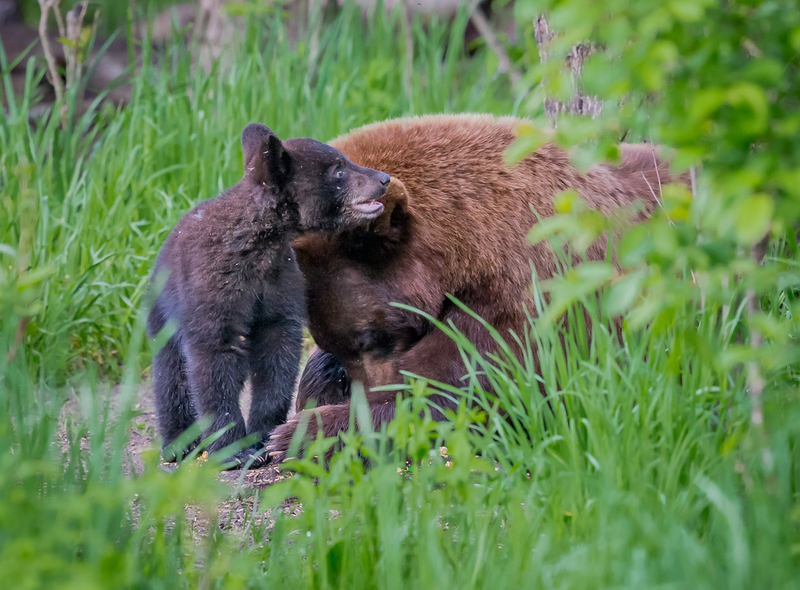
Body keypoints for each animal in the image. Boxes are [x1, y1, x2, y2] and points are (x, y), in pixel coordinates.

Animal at [148, 122, 392, 470]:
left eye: (343, 161)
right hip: (164, 308)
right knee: (170, 374)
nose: (383, 179)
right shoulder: (214, 286)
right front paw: (232, 448)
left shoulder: (279, 280)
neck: (260, 245)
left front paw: (265, 438)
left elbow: (278, 353)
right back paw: (179, 442)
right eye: (339, 169)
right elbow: (213, 359)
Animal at [264, 112, 688, 462]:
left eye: (370, 336)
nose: (372, 388)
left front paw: (303, 433)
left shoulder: (533, 296)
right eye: (343, 341)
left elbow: (474, 386)